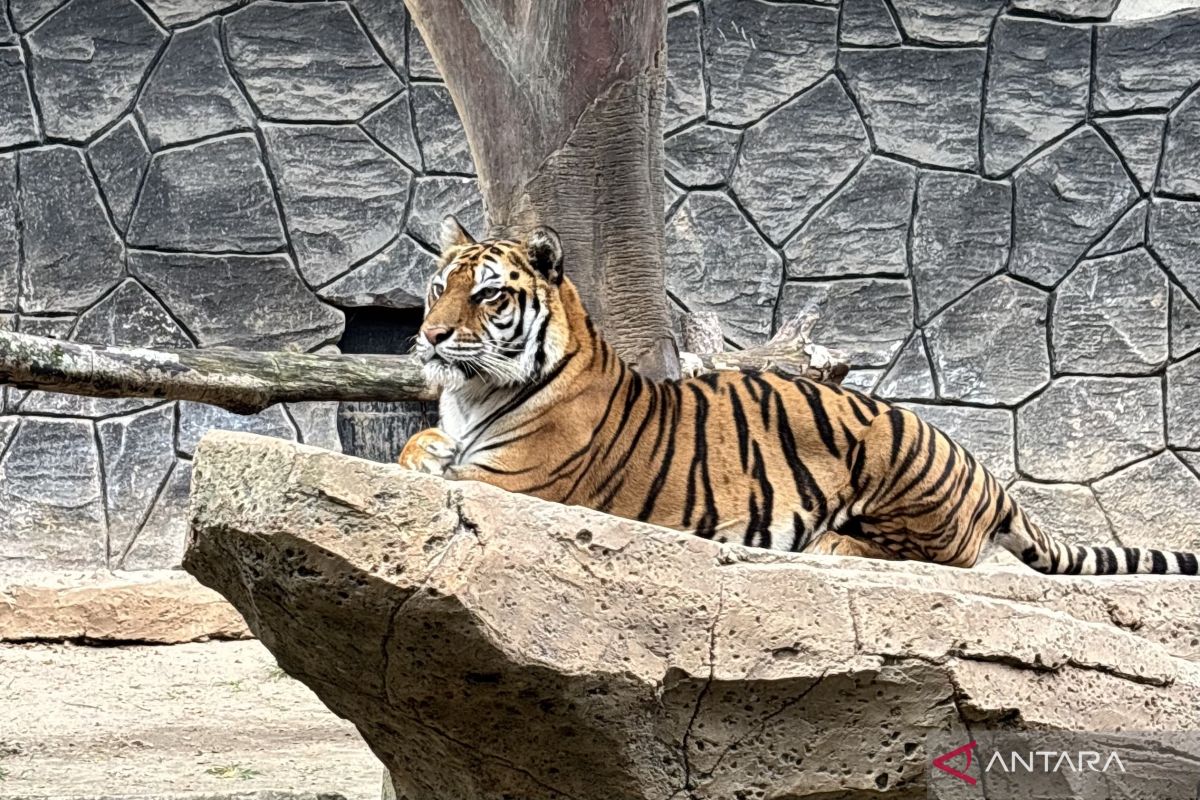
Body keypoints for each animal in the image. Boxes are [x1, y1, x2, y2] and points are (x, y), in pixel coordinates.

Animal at [397, 215, 1200, 576]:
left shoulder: (514, 481)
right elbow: (414, 448)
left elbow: (451, 479)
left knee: (944, 554)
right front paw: (421, 452)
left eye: (489, 295)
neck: (474, 395)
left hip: (892, 451)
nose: (431, 336)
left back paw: (835, 541)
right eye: (439, 288)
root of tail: (986, 475)